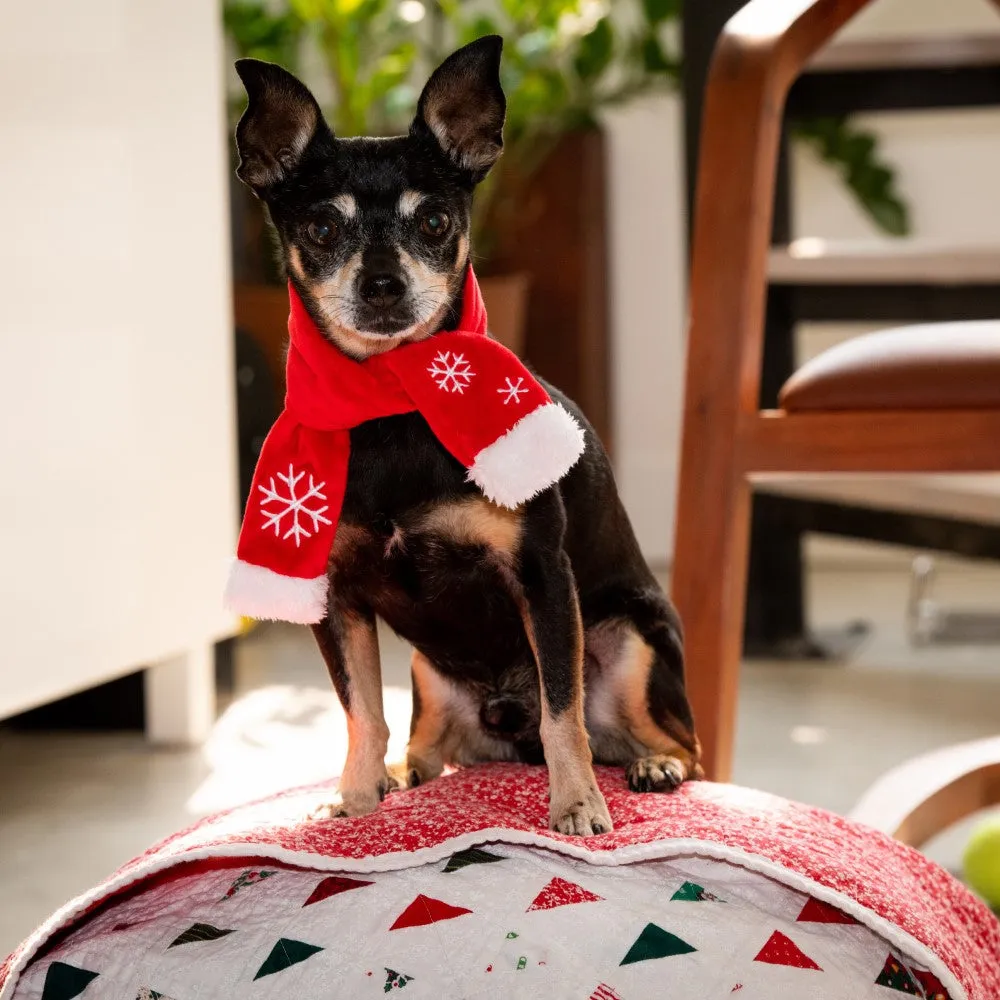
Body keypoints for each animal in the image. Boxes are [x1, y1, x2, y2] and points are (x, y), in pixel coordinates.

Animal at [234, 35, 704, 836]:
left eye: (433, 223)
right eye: (322, 229)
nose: (383, 284)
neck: (391, 405)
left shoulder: (543, 578)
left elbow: (561, 712)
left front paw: (577, 803)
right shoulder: (338, 603)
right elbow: (361, 713)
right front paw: (357, 798)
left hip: (631, 639)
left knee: (681, 745)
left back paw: (653, 765)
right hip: (429, 673)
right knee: (427, 743)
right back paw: (403, 773)